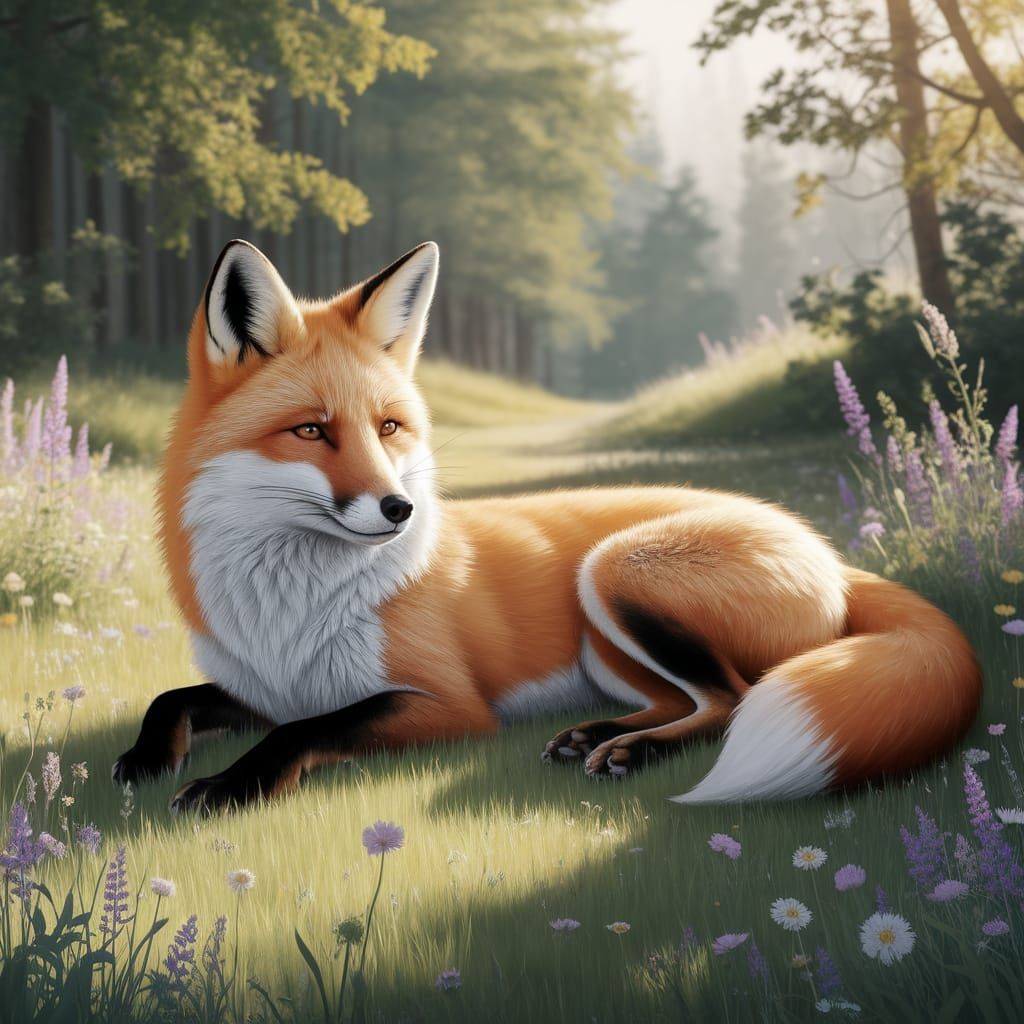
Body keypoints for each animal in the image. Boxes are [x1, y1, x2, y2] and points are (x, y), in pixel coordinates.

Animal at [112, 238, 982, 814]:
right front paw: (146, 759)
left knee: (733, 699)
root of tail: (828, 551)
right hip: (607, 645)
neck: (286, 609)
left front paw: (229, 784)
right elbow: (171, 698)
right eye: (311, 432)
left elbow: (305, 732)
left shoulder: (444, 703)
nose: (399, 509)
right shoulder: (265, 686)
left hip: (616, 573)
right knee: (689, 699)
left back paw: (630, 749)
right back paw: (591, 734)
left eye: (389, 428)